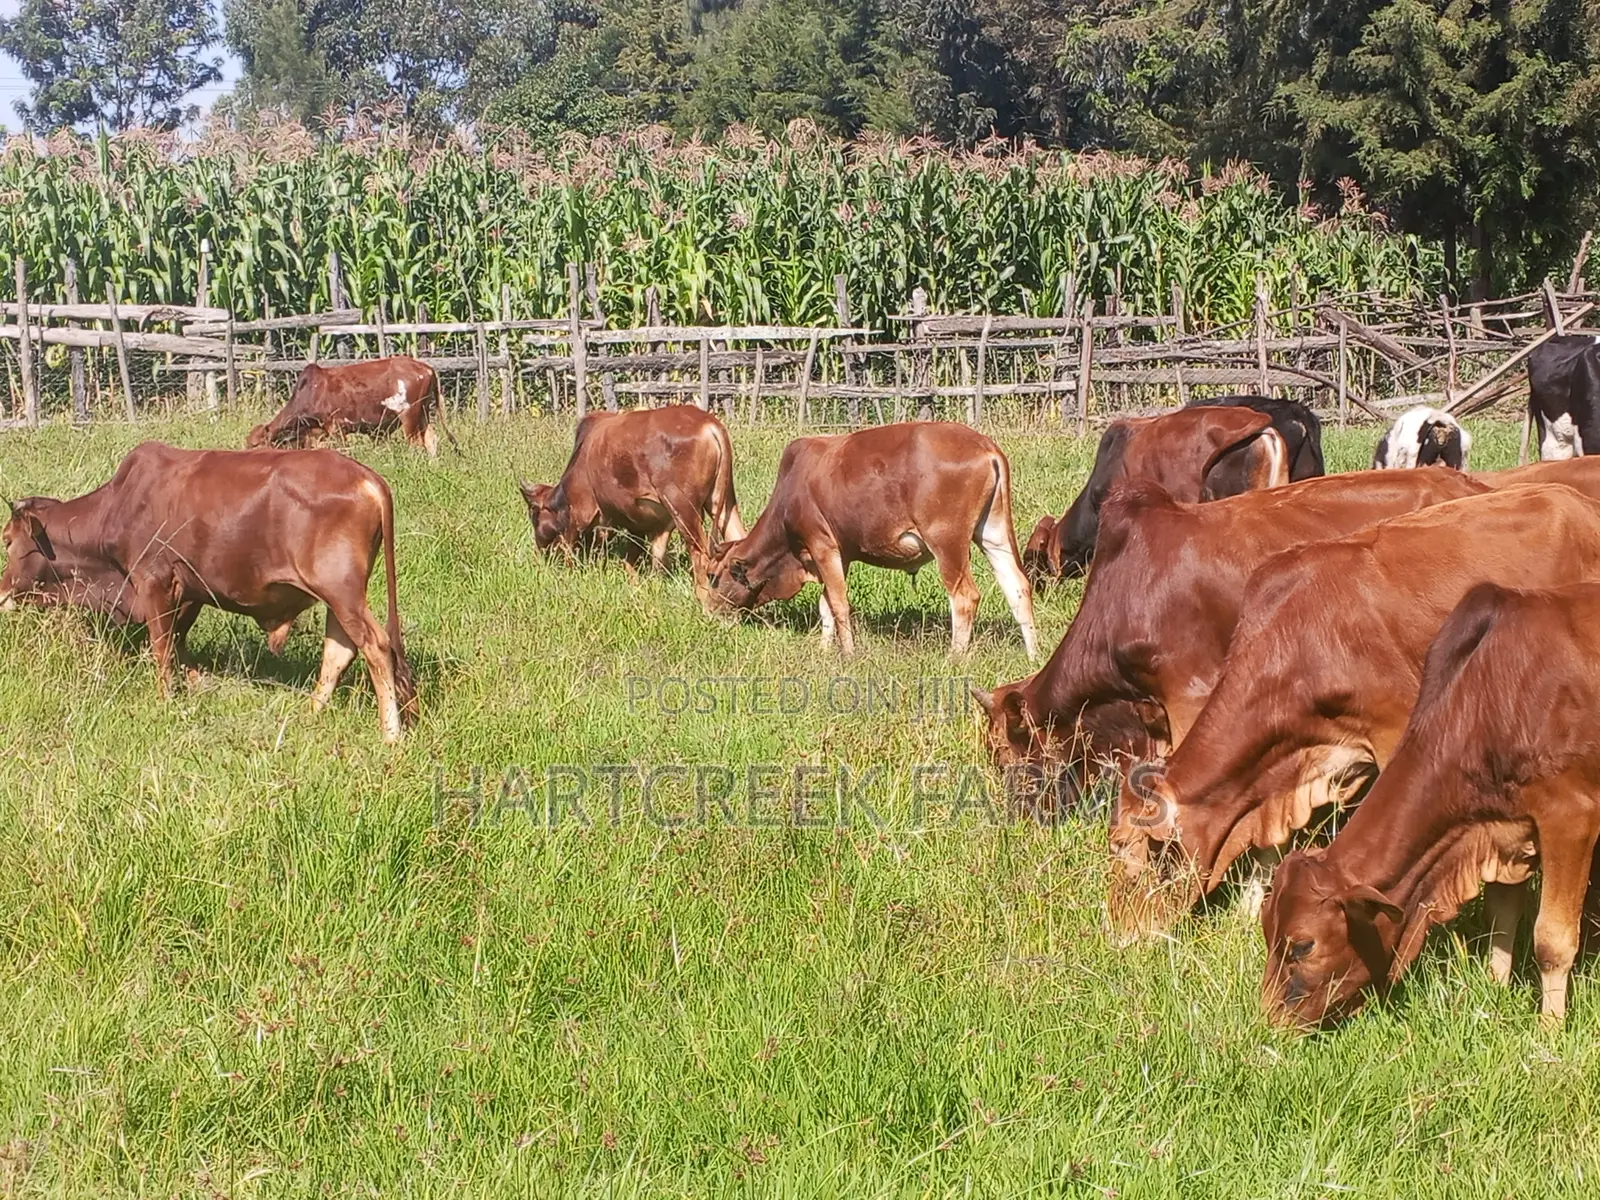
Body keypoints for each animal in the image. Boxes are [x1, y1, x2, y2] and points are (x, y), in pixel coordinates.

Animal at [0, 442, 416, 743]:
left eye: (6, 540)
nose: (2, 592)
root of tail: (367, 477)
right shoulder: (190, 593)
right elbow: (179, 646)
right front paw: (197, 687)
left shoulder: (154, 583)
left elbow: (162, 649)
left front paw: (165, 700)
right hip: (339, 597)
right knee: (340, 649)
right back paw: (310, 713)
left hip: (342, 591)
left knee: (375, 646)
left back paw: (390, 733)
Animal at [246, 356, 457, 457]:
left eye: (255, 445)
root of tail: (426, 368)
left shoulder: (337, 428)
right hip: (423, 415)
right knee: (431, 440)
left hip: (410, 416)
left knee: (417, 444)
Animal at [518, 406, 745, 572]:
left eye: (534, 514)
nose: (539, 550)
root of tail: (711, 426)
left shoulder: (582, 514)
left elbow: (571, 547)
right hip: (722, 502)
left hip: (684, 508)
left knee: (701, 554)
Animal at [697, 422, 1037, 658]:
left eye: (713, 576)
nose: (708, 612)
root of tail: (986, 446)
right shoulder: (841, 554)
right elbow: (826, 603)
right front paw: (824, 648)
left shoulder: (822, 545)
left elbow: (838, 603)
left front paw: (847, 652)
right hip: (993, 533)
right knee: (1017, 587)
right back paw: (1033, 654)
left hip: (947, 541)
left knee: (964, 596)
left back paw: (954, 656)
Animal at [1262, 581, 1600, 1026]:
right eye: (1265, 930)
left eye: (1303, 945)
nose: (1268, 1023)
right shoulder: (1504, 827)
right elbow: (1501, 915)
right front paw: (1494, 988)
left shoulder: (1571, 817)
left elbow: (1552, 940)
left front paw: (1550, 1027)